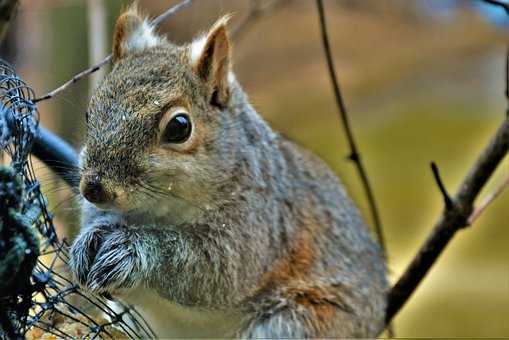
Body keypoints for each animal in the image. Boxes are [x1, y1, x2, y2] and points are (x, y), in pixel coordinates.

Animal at [69, 4, 386, 338]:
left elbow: (214, 268)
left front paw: (130, 249)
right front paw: (89, 239)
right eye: (90, 113)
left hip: (298, 321)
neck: (157, 212)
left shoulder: (258, 224)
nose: (94, 188)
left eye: (179, 127)